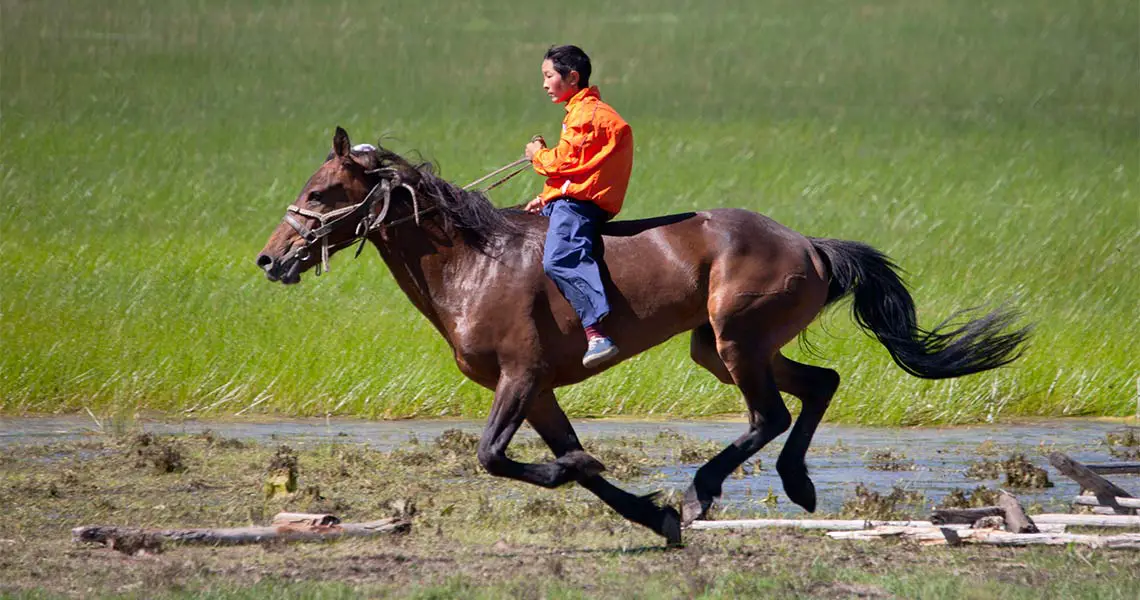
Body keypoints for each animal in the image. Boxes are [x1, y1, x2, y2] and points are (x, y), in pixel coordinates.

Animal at [258, 129, 1035, 547]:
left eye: (322, 191)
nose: (270, 259)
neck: (474, 261)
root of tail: (809, 244)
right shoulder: (540, 392)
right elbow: (570, 464)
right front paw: (647, 512)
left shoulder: (519, 378)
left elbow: (498, 458)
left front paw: (635, 492)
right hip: (722, 347)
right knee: (820, 386)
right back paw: (796, 483)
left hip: (737, 343)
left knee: (769, 415)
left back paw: (704, 489)